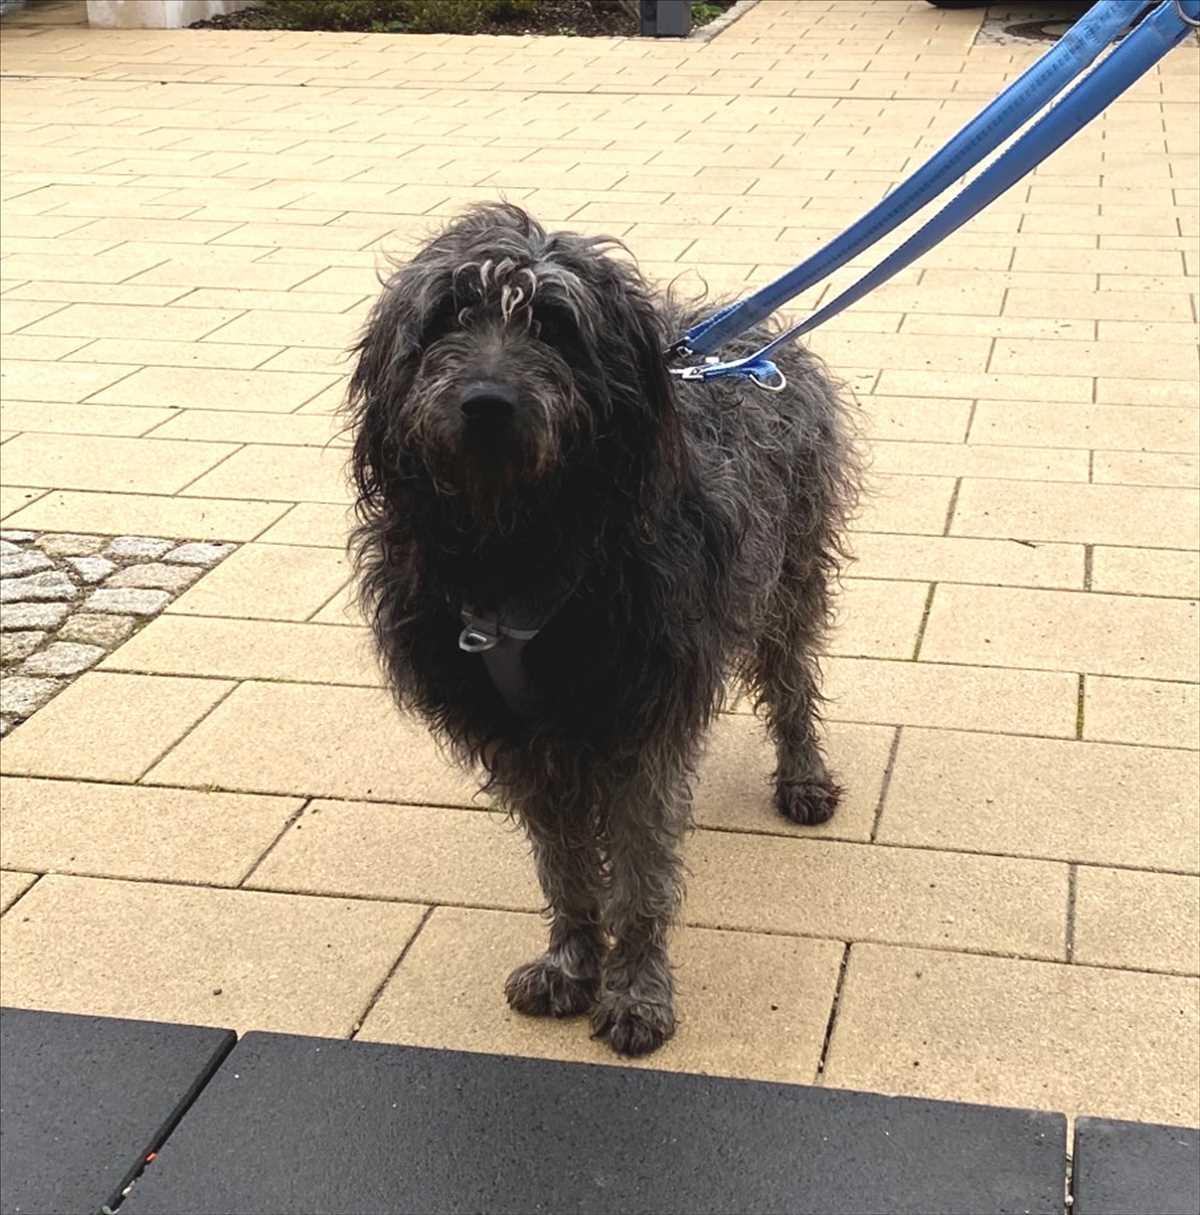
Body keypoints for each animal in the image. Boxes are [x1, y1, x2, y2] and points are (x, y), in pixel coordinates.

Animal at [347, 203, 859, 1057]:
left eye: (555, 324)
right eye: (449, 314)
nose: (486, 402)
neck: (519, 545)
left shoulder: (638, 721)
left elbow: (641, 873)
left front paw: (636, 992)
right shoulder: (522, 739)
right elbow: (566, 867)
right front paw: (571, 961)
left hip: (787, 575)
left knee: (791, 681)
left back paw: (803, 777)